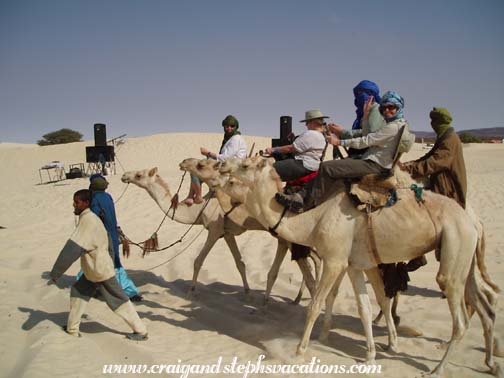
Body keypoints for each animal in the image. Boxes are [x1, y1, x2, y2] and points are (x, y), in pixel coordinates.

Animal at [120, 168, 316, 304]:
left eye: (139, 175)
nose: (124, 176)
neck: (200, 209)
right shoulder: (227, 233)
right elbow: (240, 263)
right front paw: (248, 295)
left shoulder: (214, 230)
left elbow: (198, 260)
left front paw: (190, 292)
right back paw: (298, 299)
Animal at [221, 155, 500, 376]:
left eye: (244, 165)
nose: (222, 166)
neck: (313, 220)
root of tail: (474, 221)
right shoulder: (356, 264)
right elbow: (365, 308)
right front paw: (370, 356)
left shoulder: (335, 260)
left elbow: (315, 305)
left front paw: (299, 350)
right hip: (463, 255)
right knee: (481, 303)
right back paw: (491, 363)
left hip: (455, 245)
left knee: (459, 316)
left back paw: (437, 369)